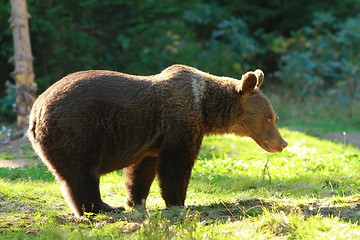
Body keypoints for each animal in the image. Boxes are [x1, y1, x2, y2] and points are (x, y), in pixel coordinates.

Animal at [27, 63, 286, 216]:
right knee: (82, 174)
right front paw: (178, 202)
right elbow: (177, 164)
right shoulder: (179, 122)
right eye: (269, 118)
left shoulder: (152, 139)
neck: (206, 107)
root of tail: (35, 112)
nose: (282, 143)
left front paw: (136, 200)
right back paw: (103, 208)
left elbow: (141, 169)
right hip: (77, 129)